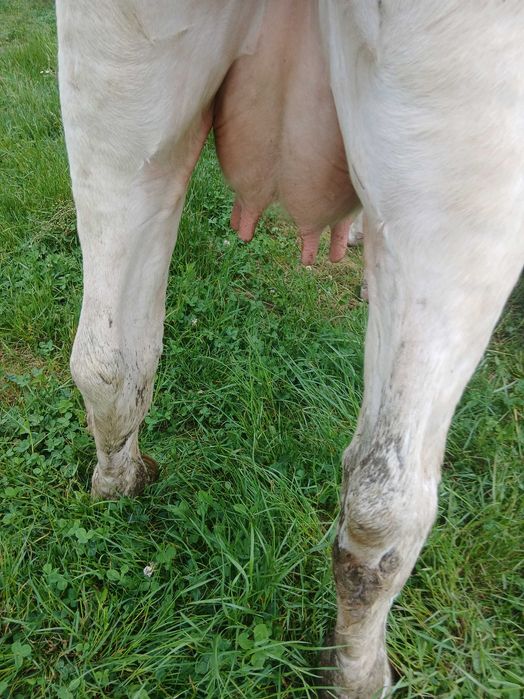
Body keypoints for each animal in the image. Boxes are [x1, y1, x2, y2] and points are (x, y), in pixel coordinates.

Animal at [55, 1, 524, 697]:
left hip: (122, 87)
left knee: (108, 362)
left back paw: (120, 484)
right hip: (460, 156)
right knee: (387, 493)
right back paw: (357, 672)